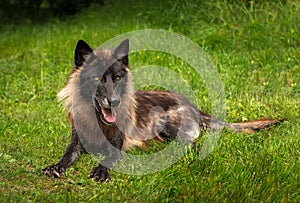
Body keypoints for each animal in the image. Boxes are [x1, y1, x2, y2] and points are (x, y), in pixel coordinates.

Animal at [42, 38, 282, 182]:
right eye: (96, 79)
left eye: (117, 78)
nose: (114, 101)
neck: (100, 122)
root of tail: (195, 106)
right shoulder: (77, 141)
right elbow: (67, 154)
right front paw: (56, 166)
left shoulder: (119, 143)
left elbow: (109, 157)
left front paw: (101, 170)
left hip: (162, 121)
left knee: (191, 144)